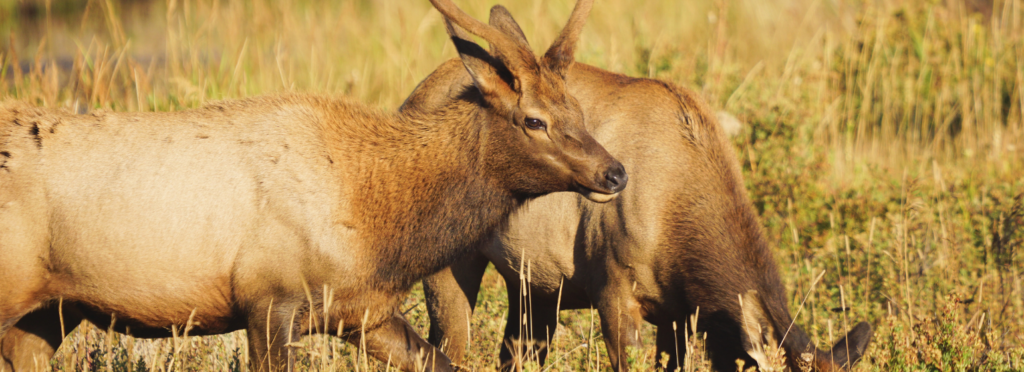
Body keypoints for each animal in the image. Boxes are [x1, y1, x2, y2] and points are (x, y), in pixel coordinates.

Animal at [0, 1, 622, 370]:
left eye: (576, 108)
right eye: (534, 120)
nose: (615, 172)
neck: (381, 230)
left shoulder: (361, 311)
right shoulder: (268, 298)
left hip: (48, 312)